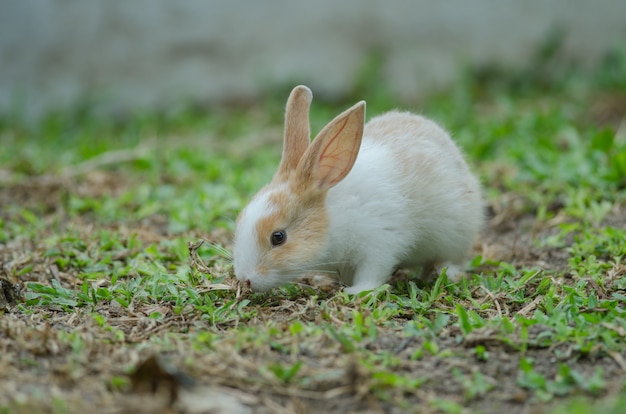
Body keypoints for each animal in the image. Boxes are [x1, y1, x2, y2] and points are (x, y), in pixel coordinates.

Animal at [232, 85, 480, 294]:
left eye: (278, 237)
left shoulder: (379, 243)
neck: (332, 217)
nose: (245, 279)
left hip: (454, 239)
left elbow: (372, 273)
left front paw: (355, 292)